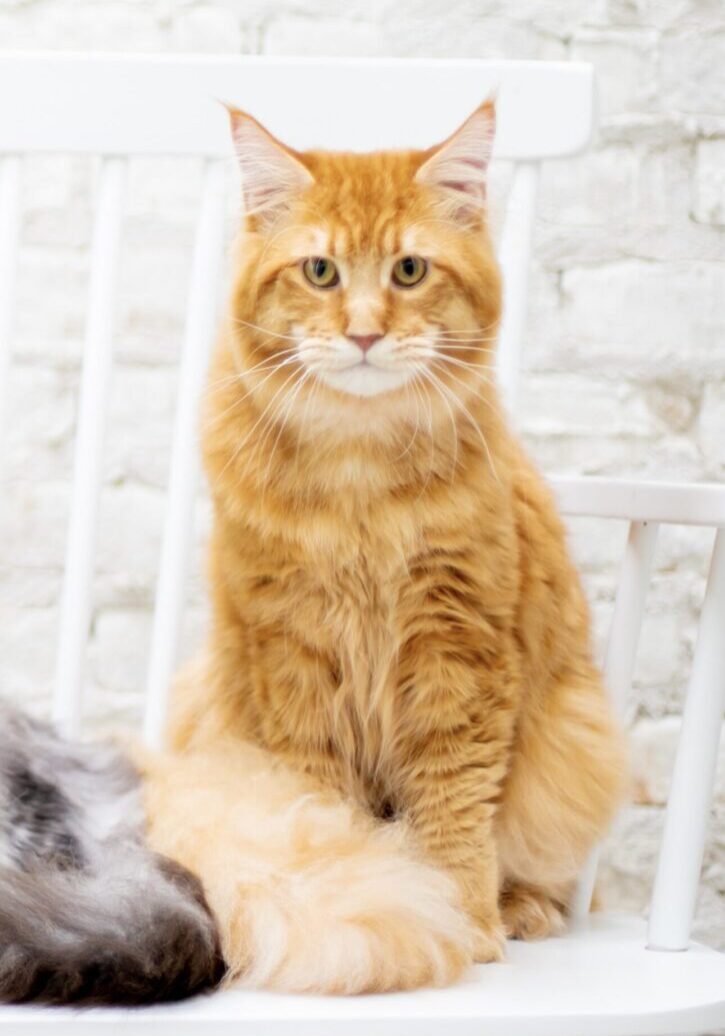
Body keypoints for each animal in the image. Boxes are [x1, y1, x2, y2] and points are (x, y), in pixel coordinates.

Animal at [142, 103, 629, 994]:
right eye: (320, 272)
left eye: (408, 271)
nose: (365, 332)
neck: (357, 476)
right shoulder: (291, 654)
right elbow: (324, 804)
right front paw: (362, 890)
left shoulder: (457, 648)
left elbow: (453, 805)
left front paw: (462, 918)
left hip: (573, 740)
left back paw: (522, 908)